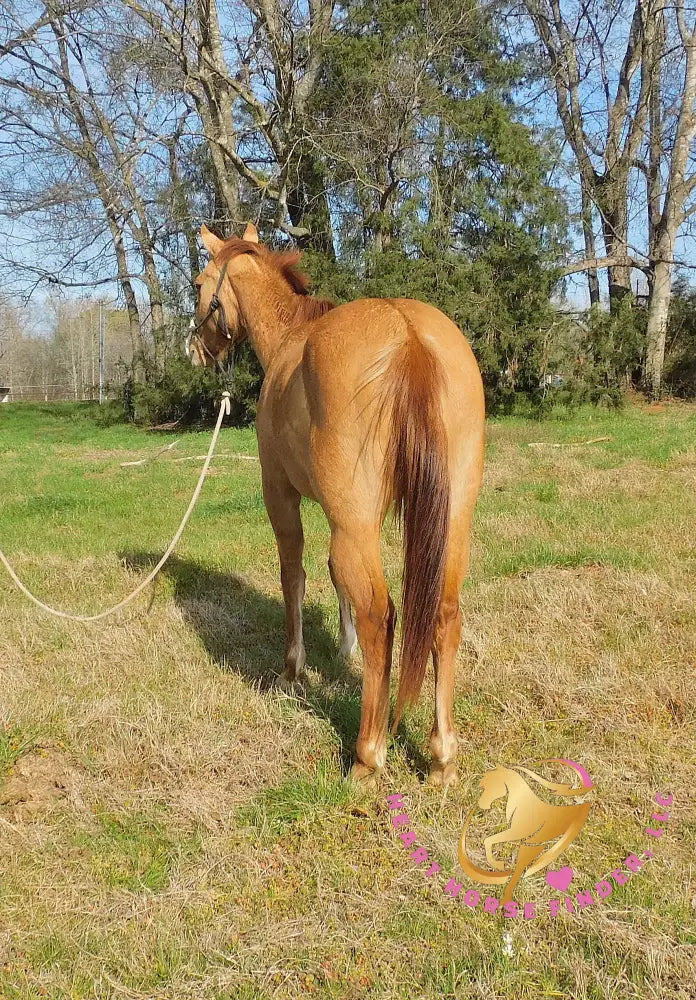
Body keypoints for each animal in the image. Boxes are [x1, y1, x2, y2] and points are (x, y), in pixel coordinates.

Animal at [187, 222, 485, 785]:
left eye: (199, 284)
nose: (195, 349)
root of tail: (407, 335)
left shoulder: (281, 494)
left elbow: (295, 576)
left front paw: (293, 670)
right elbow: (331, 573)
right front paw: (342, 650)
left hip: (356, 522)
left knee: (379, 614)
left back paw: (368, 756)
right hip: (450, 521)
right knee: (443, 613)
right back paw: (442, 757)